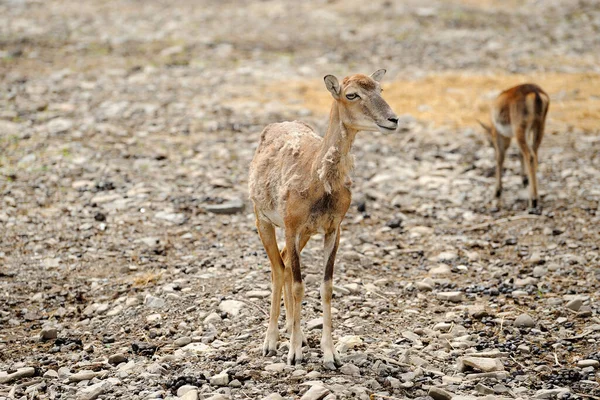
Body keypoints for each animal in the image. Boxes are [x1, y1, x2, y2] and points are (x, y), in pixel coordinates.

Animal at [248, 69, 398, 368]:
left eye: (381, 89)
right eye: (351, 94)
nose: (393, 119)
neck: (318, 182)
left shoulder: (332, 229)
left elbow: (326, 287)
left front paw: (331, 355)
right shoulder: (291, 226)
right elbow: (298, 285)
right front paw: (294, 354)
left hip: (305, 233)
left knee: (283, 262)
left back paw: (297, 333)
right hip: (263, 221)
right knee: (278, 268)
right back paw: (271, 343)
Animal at [478, 84, 552, 214]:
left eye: (490, 140)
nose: (490, 144)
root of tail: (535, 94)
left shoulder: (498, 135)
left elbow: (500, 158)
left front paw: (497, 192)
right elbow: (519, 153)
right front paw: (524, 179)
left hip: (520, 128)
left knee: (530, 156)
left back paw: (533, 201)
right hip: (539, 126)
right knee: (534, 154)